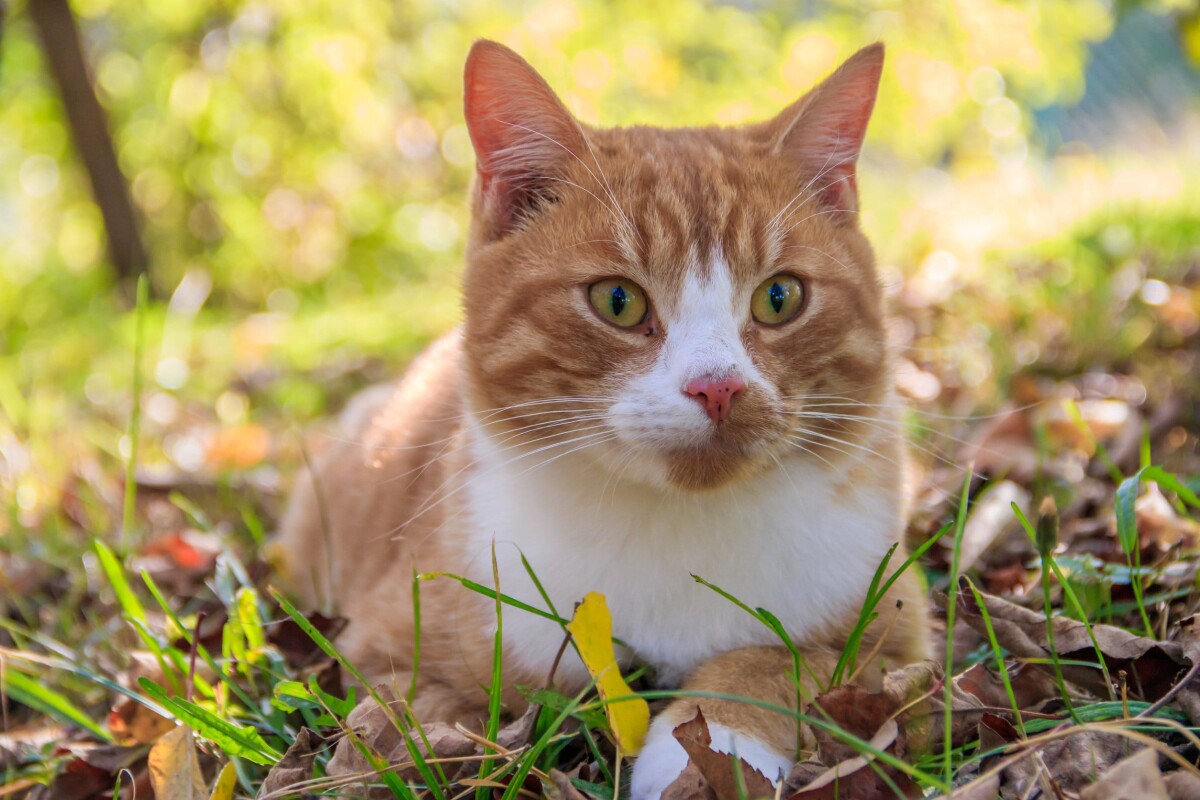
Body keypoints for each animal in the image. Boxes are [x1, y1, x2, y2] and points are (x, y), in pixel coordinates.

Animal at [276, 38, 931, 800]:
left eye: (779, 297)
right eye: (618, 300)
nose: (719, 387)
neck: (676, 528)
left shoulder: (900, 633)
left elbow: (787, 658)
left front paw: (713, 741)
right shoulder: (388, 643)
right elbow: (414, 716)